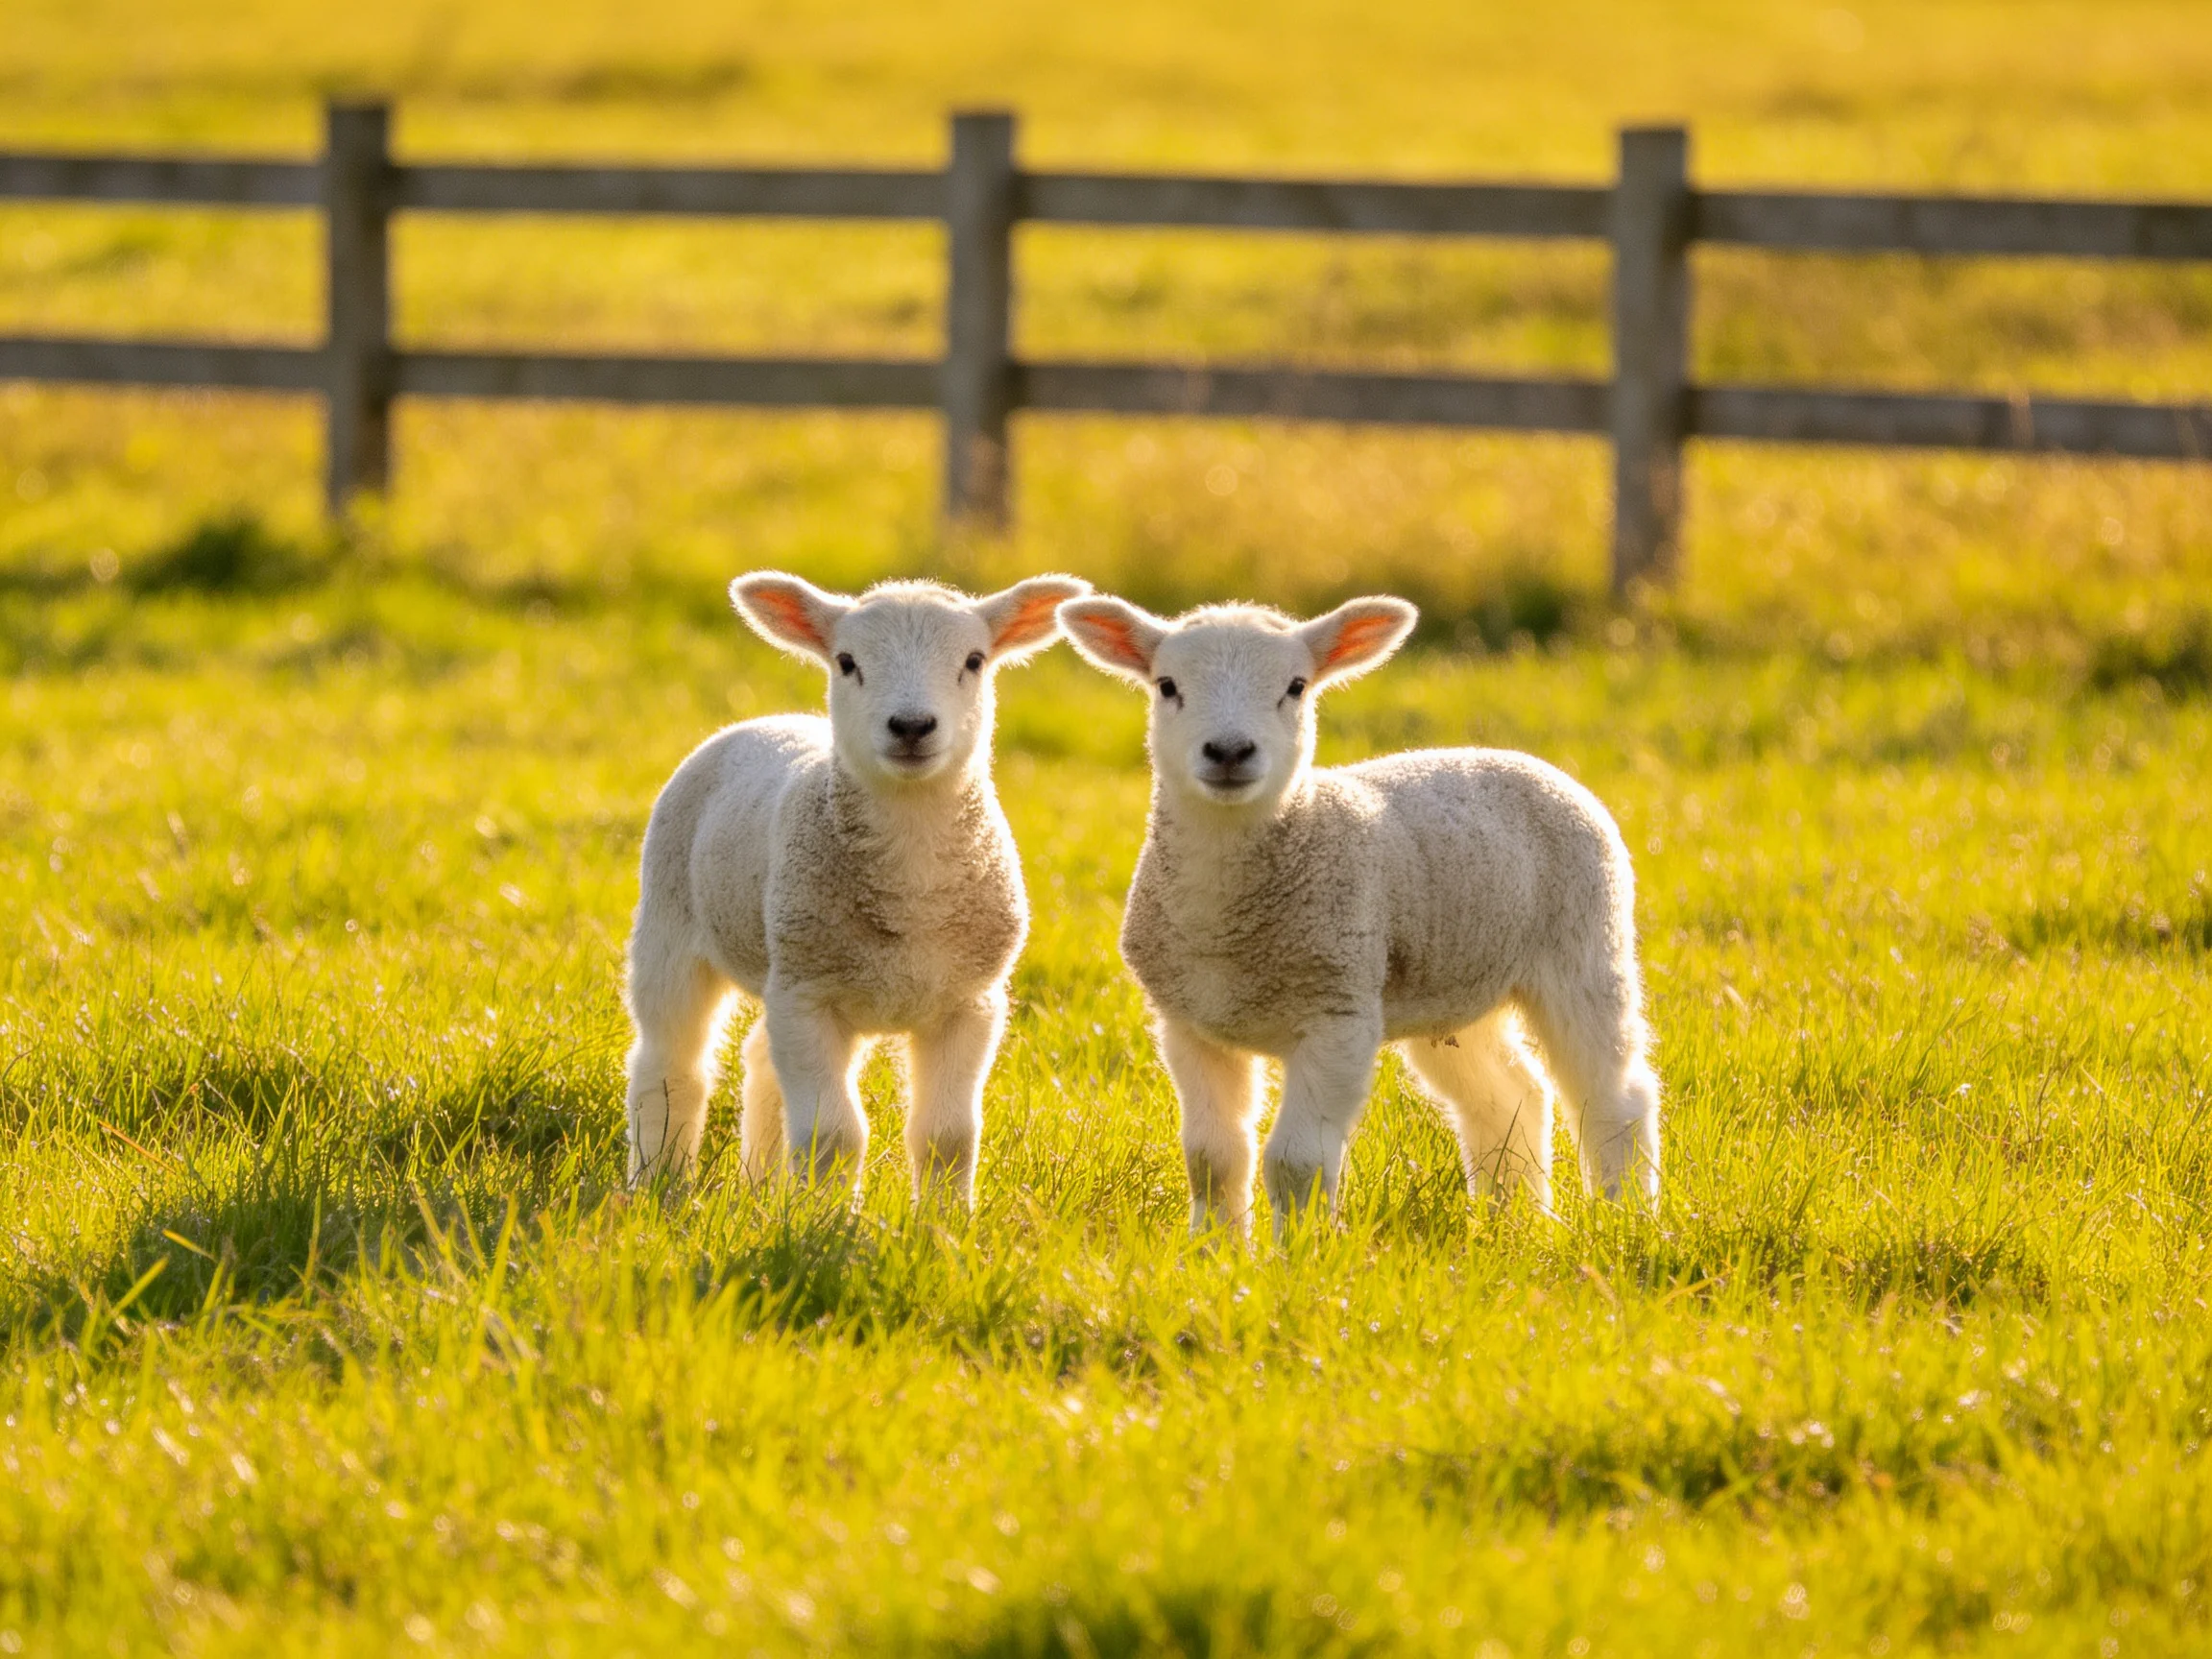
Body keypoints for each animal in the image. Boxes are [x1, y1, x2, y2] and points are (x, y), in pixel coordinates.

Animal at [623, 569, 1090, 1200]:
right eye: (847, 662)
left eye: (974, 661)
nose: (912, 726)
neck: (912, 883)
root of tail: (767, 720)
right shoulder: (809, 994)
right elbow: (833, 1136)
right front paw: (823, 1219)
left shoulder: (970, 1001)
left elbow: (947, 1136)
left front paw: (943, 1220)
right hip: (672, 924)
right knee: (670, 1066)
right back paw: (659, 1184)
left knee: (760, 1058)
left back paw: (762, 1184)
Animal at [1056, 591, 1660, 1235]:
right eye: (1167, 686)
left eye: (1296, 687)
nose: (1229, 752)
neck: (1225, 927)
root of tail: (1520, 759)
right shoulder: (1189, 1024)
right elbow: (1211, 1157)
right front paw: (1214, 1248)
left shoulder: (1338, 1016)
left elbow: (1295, 1162)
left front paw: (1300, 1249)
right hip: (1454, 985)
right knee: (1510, 1093)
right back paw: (1511, 1218)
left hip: (1585, 946)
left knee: (1615, 1095)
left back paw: (1626, 1216)